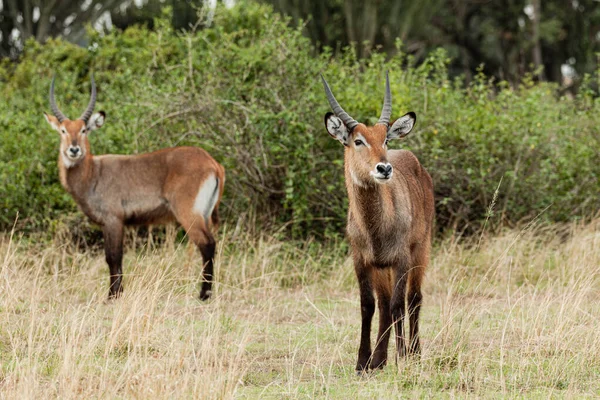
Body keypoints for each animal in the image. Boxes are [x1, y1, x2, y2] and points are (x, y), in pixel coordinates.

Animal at [43, 76, 224, 300]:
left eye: (84, 130)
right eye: (63, 130)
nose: (74, 150)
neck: (93, 172)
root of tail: (212, 163)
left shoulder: (113, 220)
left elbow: (113, 257)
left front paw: (112, 296)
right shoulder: (108, 224)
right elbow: (114, 258)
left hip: (189, 214)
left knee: (207, 244)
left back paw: (204, 295)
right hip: (205, 214)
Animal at [322, 72, 434, 372]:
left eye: (385, 140)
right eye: (358, 141)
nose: (384, 168)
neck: (375, 228)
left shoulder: (401, 258)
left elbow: (398, 304)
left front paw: (399, 355)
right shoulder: (362, 260)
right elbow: (368, 305)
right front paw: (364, 361)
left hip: (421, 250)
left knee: (412, 300)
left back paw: (413, 352)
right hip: (382, 267)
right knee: (384, 305)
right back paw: (383, 358)